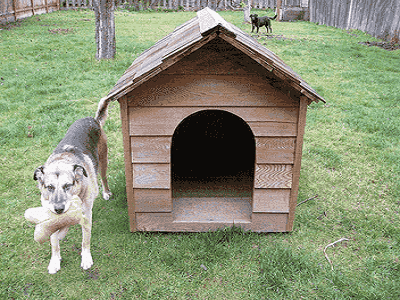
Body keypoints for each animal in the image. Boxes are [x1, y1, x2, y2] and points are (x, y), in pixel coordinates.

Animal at [34, 98, 112, 274]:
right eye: (49, 187)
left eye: (67, 185)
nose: (59, 209)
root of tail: (93, 119)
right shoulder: (52, 216)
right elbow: (54, 240)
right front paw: (55, 260)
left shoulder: (85, 216)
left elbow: (85, 240)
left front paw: (86, 258)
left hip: (103, 160)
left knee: (103, 178)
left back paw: (105, 192)